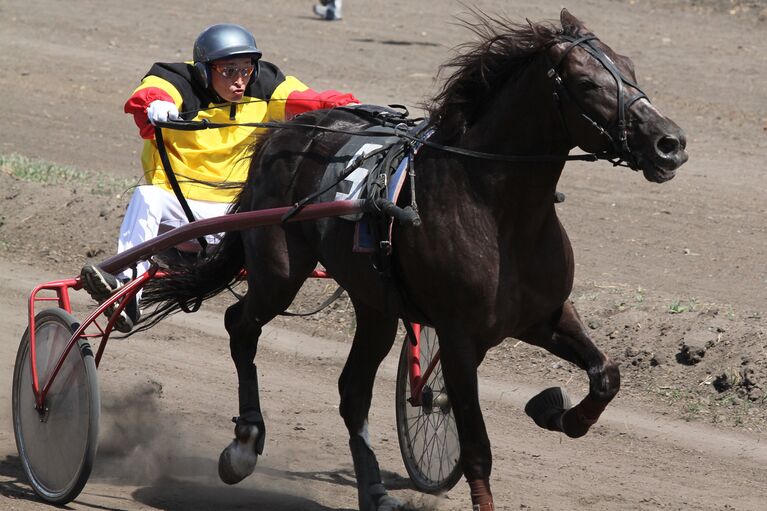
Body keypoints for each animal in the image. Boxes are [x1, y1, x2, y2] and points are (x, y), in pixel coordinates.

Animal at [140, 9, 688, 511]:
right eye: (586, 82)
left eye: (631, 68)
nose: (671, 144)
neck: (498, 213)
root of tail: (284, 133)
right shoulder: (461, 335)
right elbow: (477, 449)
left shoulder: (544, 315)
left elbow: (606, 374)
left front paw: (554, 410)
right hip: (279, 271)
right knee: (241, 325)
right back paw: (244, 445)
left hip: (375, 305)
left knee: (352, 392)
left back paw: (375, 491)